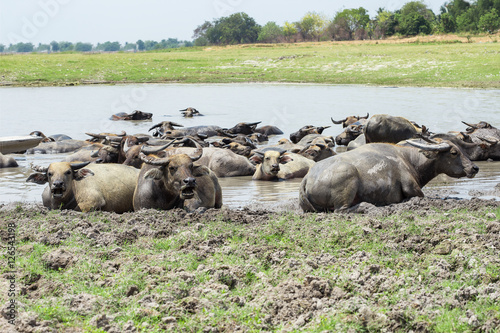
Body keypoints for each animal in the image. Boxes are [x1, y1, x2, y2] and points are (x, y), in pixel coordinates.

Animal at [298, 139, 478, 211]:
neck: (409, 159)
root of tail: (307, 178)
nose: (475, 168)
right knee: (341, 210)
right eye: (454, 152)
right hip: (348, 179)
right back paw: (365, 207)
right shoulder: (412, 188)